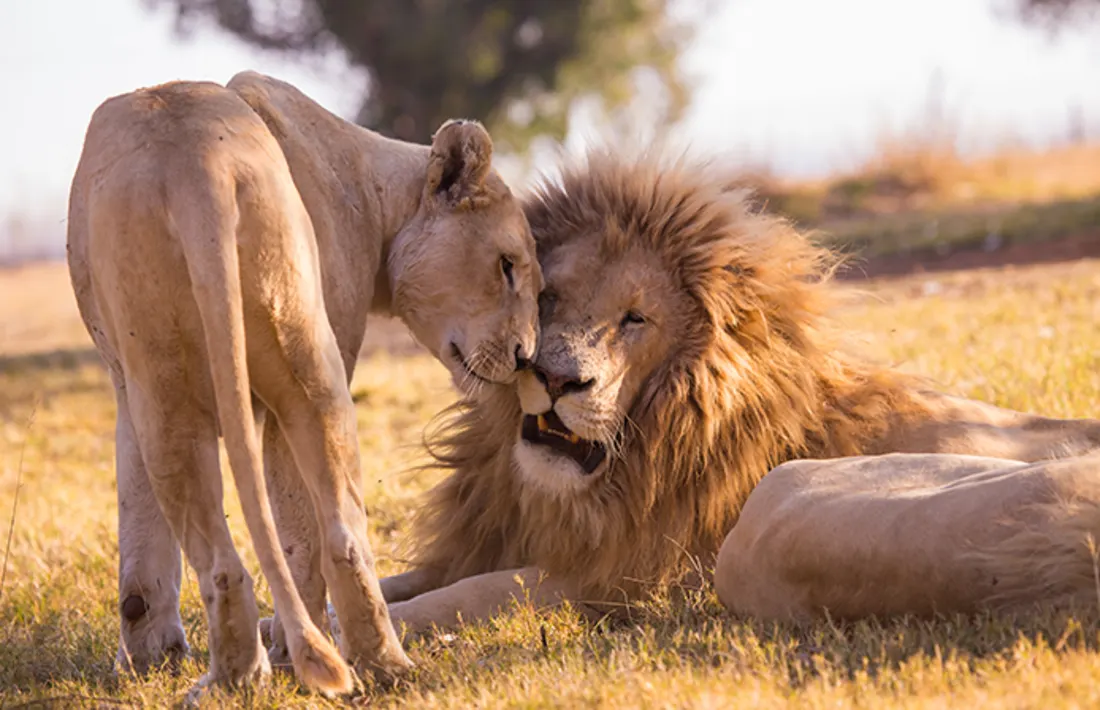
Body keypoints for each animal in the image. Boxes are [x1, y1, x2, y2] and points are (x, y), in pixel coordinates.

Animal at [66, 73, 540, 697]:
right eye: (507, 265)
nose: (526, 355)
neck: (375, 191)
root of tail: (199, 167)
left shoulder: (132, 387)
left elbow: (148, 528)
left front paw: (150, 660)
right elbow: (147, 535)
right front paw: (152, 659)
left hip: (184, 383)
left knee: (248, 555)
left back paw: (249, 675)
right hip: (298, 364)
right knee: (332, 537)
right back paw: (355, 666)